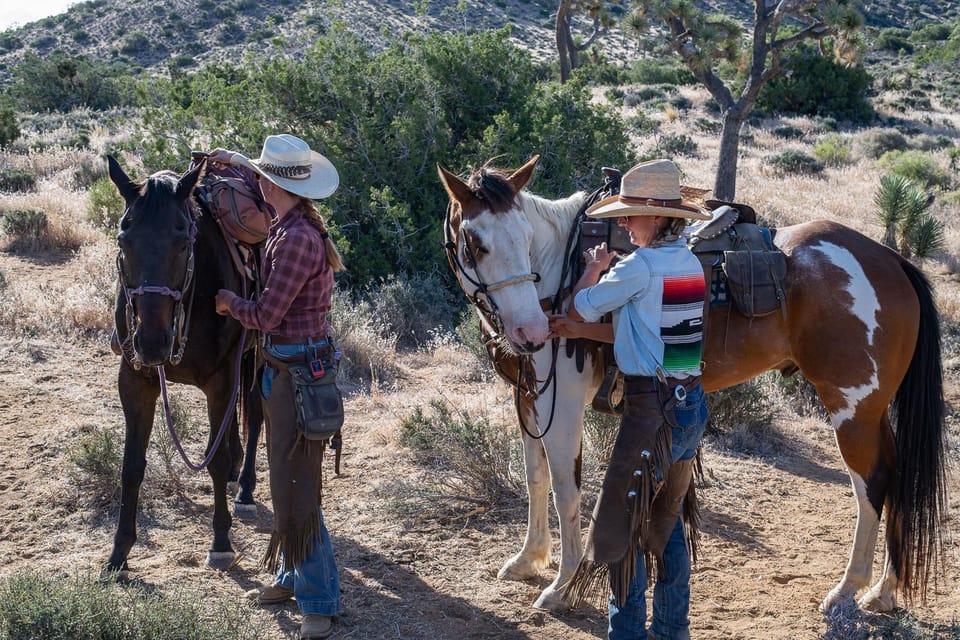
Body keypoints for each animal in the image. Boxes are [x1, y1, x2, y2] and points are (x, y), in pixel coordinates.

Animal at [106, 158, 262, 572]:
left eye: (182, 244)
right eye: (123, 242)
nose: (152, 342)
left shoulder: (220, 379)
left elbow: (215, 459)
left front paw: (221, 541)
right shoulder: (135, 380)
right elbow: (132, 464)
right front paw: (119, 552)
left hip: (260, 354)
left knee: (256, 415)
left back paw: (245, 488)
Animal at [438, 155, 948, 616]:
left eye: (524, 239)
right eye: (476, 243)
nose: (530, 331)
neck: (559, 274)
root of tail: (892, 261)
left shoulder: (561, 403)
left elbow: (566, 489)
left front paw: (561, 587)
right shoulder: (528, 398)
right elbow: (535, 477)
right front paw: (527, 559)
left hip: (852, 411)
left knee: (872, 485)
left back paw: (848, 589)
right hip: (871, 411)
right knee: (898, 479)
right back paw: (883, 591)